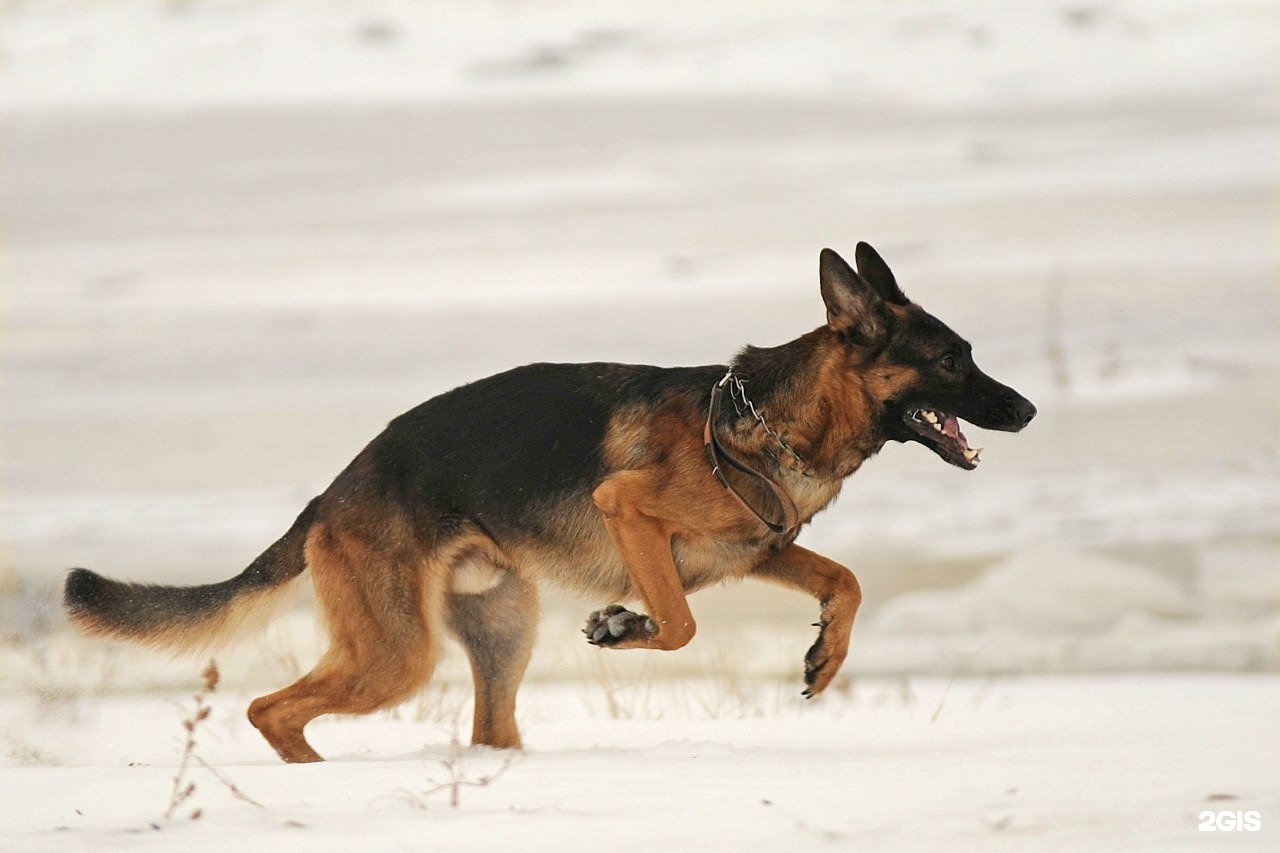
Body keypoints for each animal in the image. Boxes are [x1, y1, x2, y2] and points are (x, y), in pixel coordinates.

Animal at [64, 242, 1034, 758]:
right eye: (952, 359)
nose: (1026, 410)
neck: (762, 420)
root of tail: (331, 494)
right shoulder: (629, 509)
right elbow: (681, 623)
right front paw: (623, 625)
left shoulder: (762, 549)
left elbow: (846, 580)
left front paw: (826, 658)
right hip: (397, 654)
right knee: (271, 708)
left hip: (500, 632)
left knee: (487, 731)